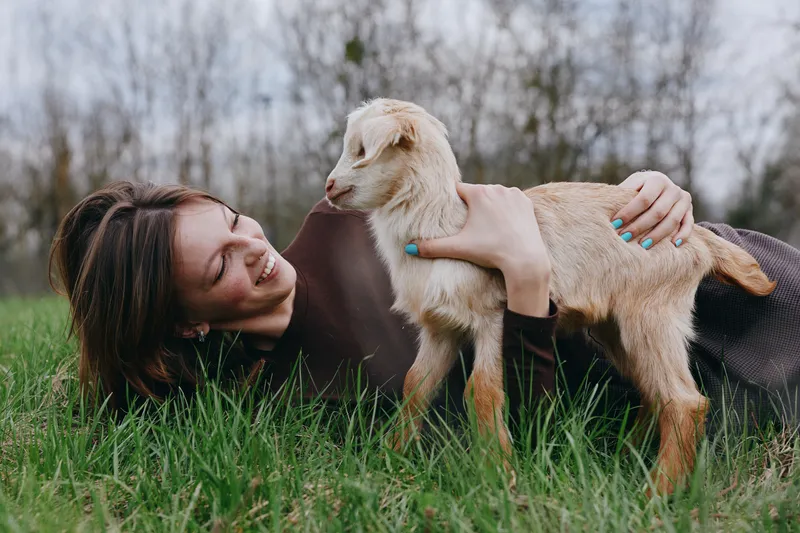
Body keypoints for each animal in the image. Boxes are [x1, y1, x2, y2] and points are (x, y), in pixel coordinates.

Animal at [324, 98, 776, 496]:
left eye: (362, 150)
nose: (329, 186)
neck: (444, 223)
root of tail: (697, 237)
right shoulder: (441, 329)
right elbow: (416, 385)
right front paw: (390, 456)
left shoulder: (492, 317)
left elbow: (482, 390)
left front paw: (499, 476)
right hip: (617, 328)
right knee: (656, 396)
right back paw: (625, 460)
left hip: (652, 316)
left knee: (685, 403)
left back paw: (654, 496)